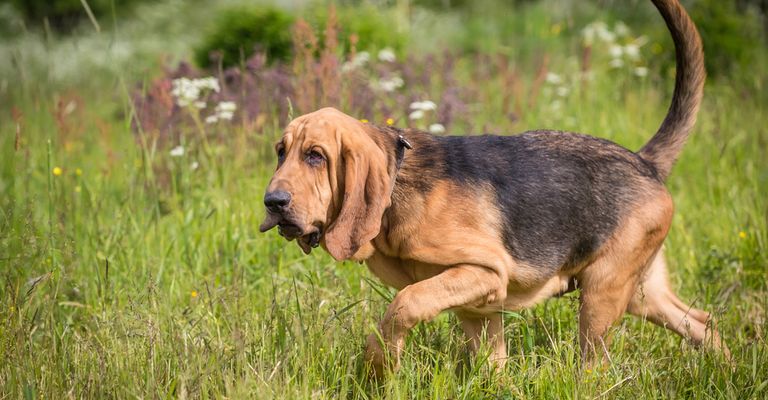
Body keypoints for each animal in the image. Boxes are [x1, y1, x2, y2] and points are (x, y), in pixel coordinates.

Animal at [258, 0, 728, 376]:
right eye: (281, 152)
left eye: (316, 156)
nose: (273, 202)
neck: (399, 185)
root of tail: (646, 161)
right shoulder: (479, 308)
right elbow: (491, 366)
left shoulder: (483, 272)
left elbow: (403, 304)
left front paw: (380, 364)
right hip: (641, 294)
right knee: (703, 324)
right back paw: (729, 370)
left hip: (602, 295)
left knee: (595, 364)